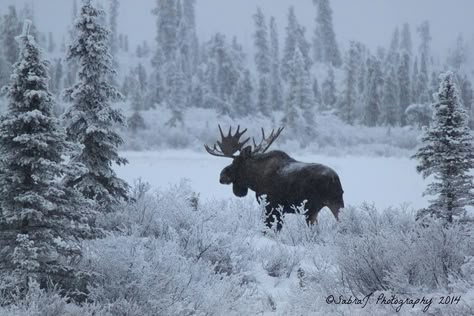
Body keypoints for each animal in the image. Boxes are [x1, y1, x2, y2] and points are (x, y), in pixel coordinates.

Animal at [205, 124, 344, 231]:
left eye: (235, 162)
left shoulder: (271, 206)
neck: (254, 180)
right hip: (335, 203)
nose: (222, 175)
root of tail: (334, 178)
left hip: (313, 208)